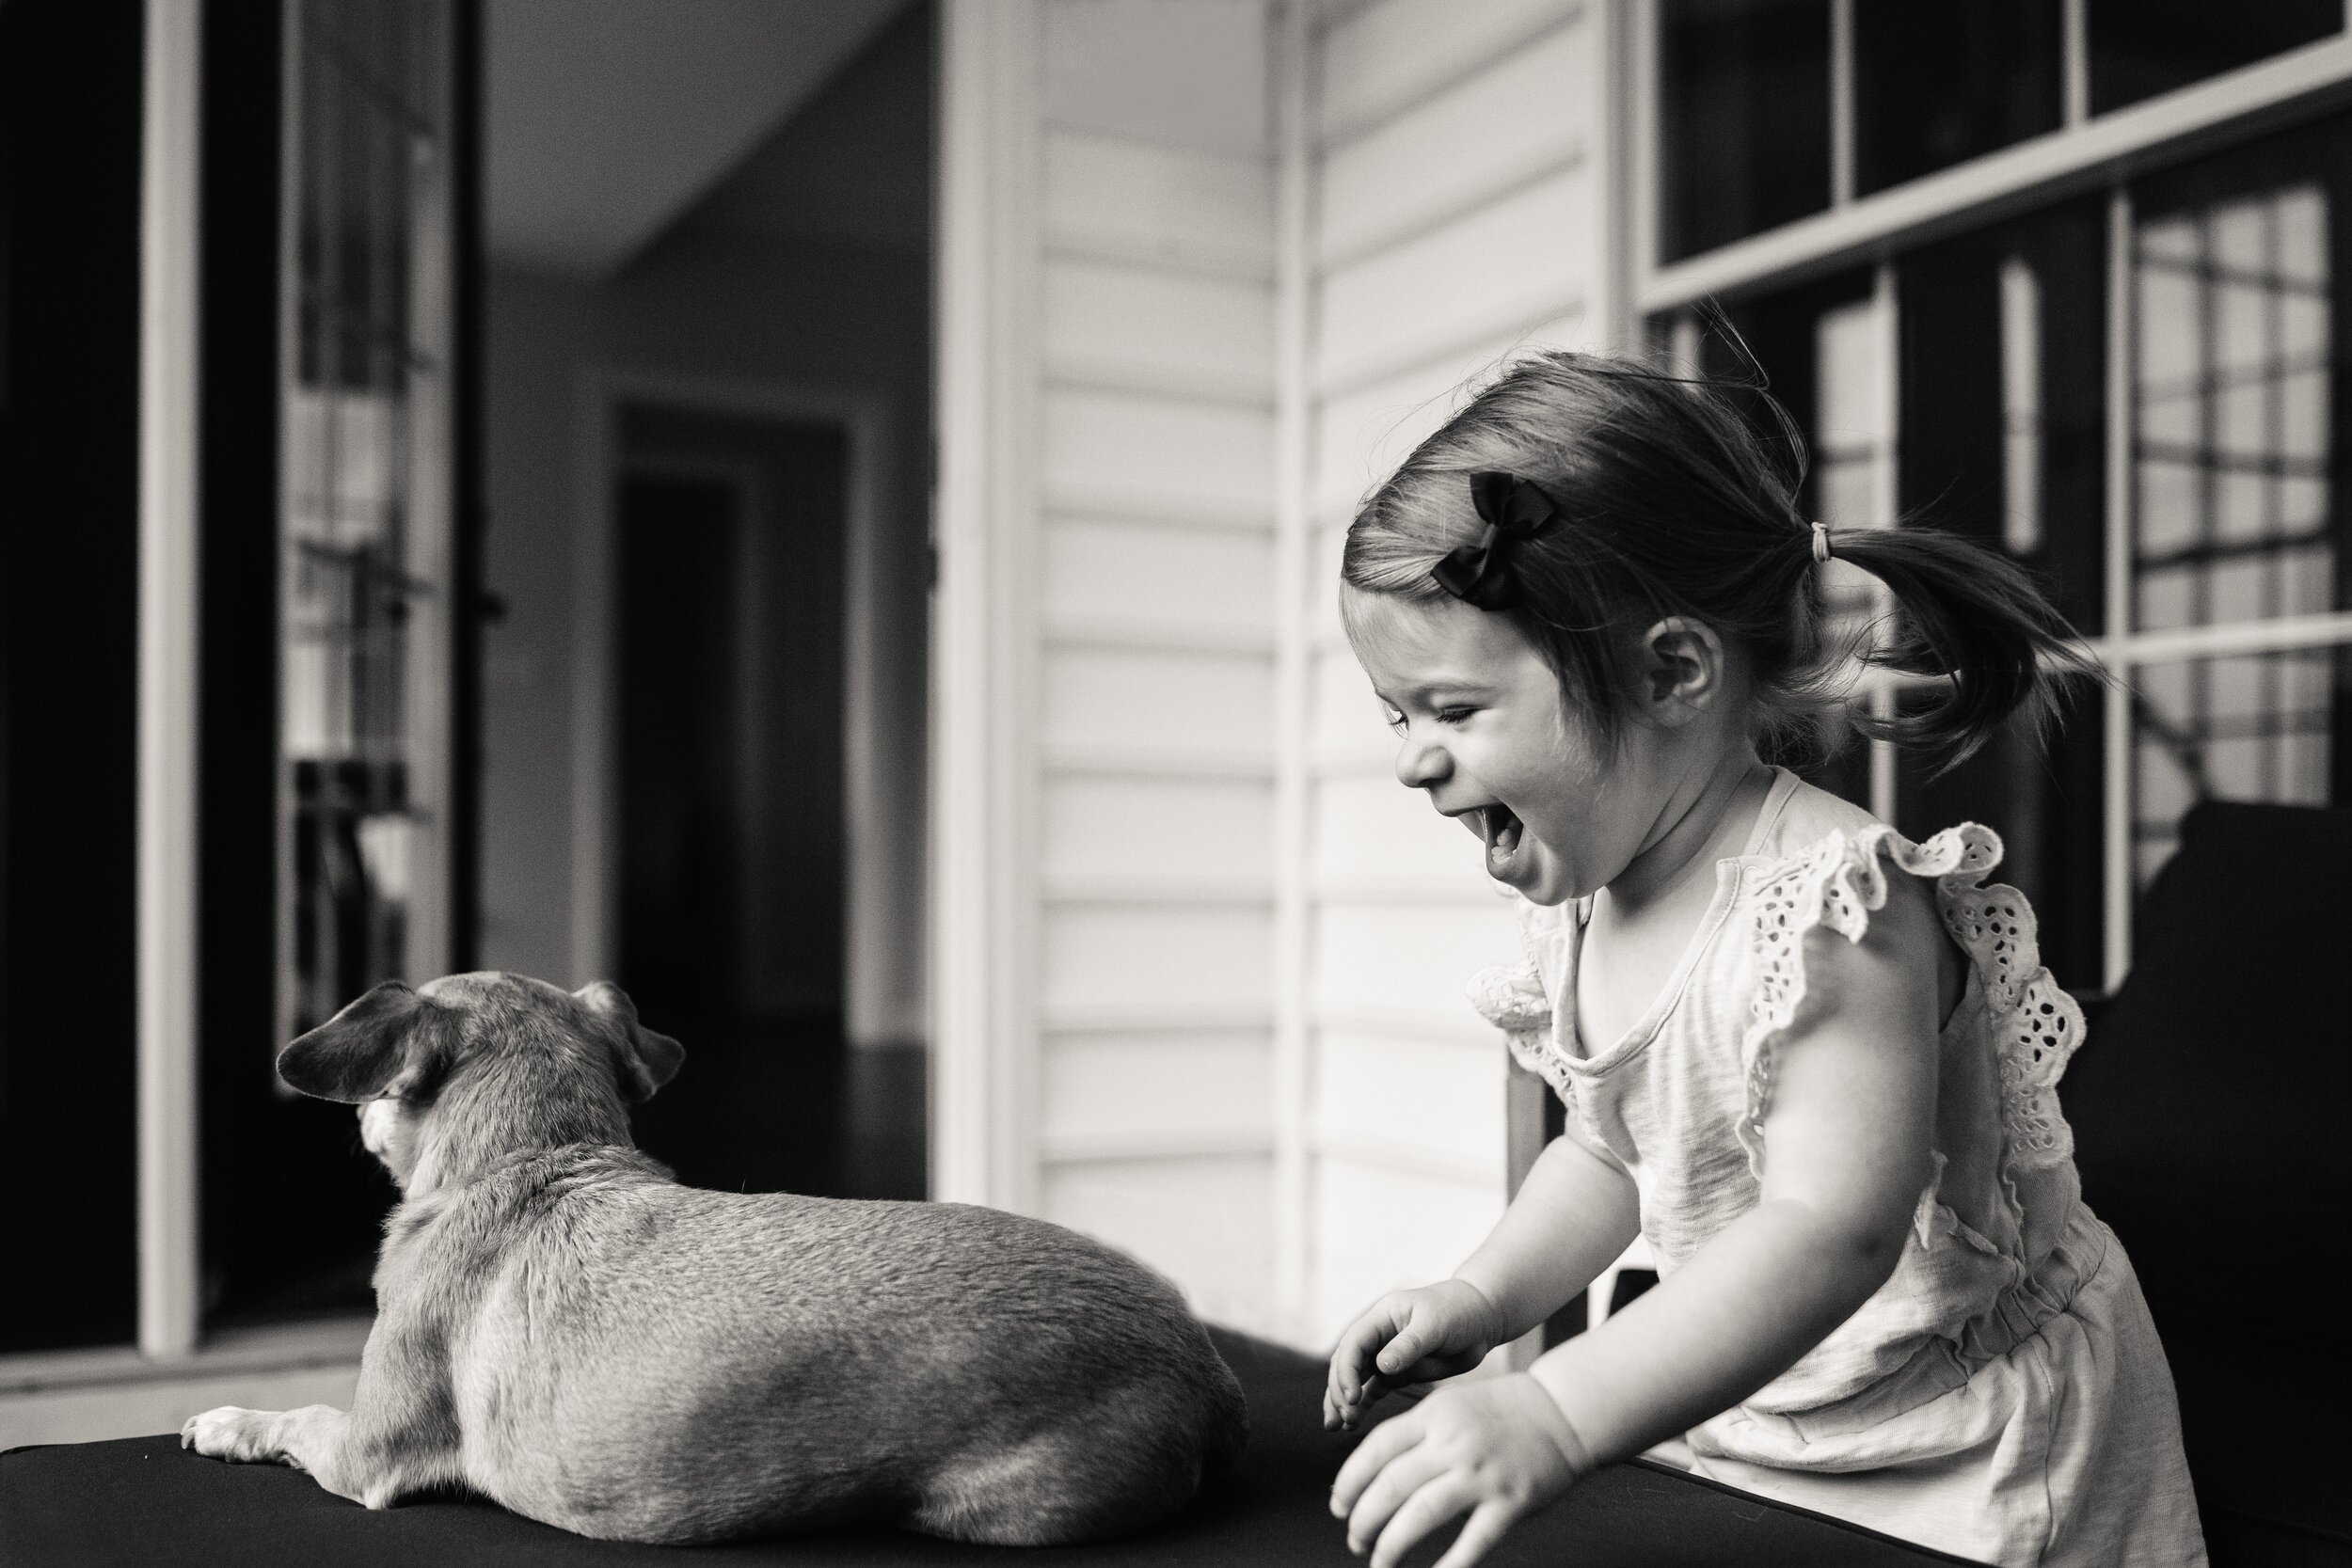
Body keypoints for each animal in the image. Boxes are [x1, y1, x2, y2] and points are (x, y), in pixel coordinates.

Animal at [183, 973, 1251, 1551]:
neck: (537, 1158)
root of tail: (1210, 1369)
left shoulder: (369, 1450)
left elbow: (299, 1414)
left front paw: (227, 1419)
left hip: (988, 1504)